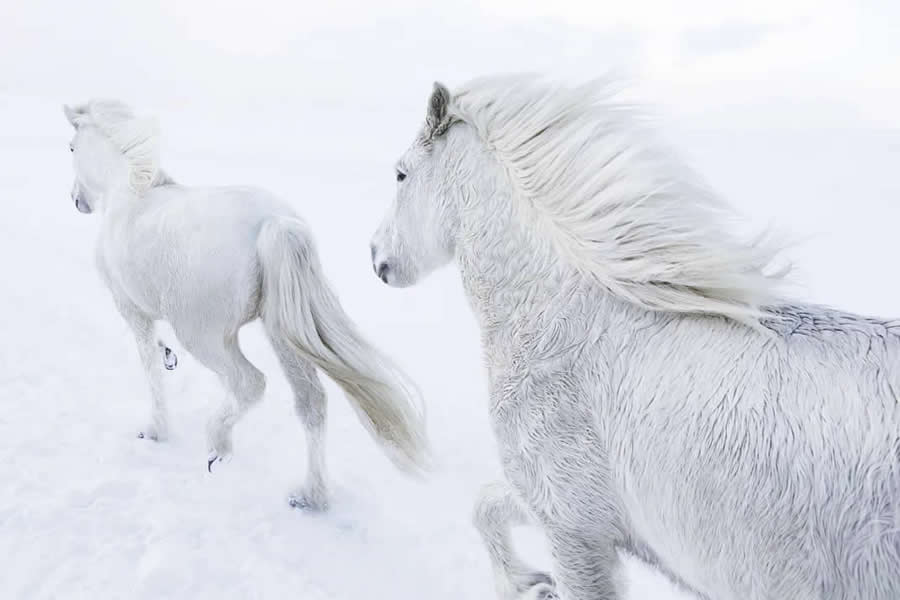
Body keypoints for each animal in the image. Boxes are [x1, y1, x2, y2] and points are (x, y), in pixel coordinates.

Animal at [65, 99, 428, 506]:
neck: (127, 194)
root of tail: (275, 224)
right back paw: (310, 496)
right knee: (311, 402)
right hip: (283, 333)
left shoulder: (130, 308)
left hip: (205, 336)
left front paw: (155, 430)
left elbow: (149, 368)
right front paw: (167, 355)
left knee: (249, 383)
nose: (76, 200)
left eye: (71, 148)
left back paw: (217, 444)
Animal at [368, 75, 900, 600]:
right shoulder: (573, 515)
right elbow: (486, 505)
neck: (561, 326)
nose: (376, 257)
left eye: (400, 175)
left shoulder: (574, 527)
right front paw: (527, 583)